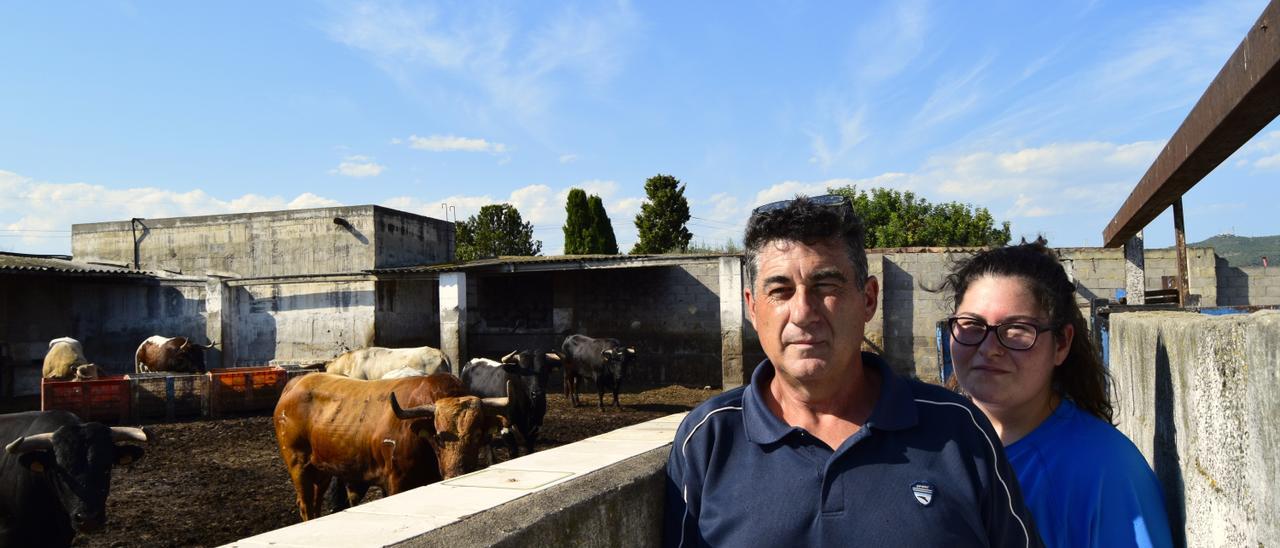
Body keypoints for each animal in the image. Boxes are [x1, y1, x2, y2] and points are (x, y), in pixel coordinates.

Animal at [272, 371, 506, 519]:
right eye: (439, 436)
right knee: (305, 504)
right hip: (298, 464)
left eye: (477, 435)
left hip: (321, 469)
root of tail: (296, 383)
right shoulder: (396, 481)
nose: (456, 473)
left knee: (316, 501)